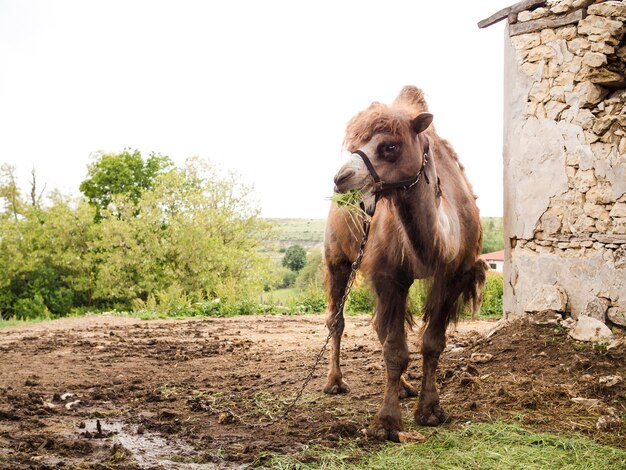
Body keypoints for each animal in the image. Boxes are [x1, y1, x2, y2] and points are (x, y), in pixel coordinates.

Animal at [322, 86, 488, 442]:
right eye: (354, 145)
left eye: (390, 146)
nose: (341, 179)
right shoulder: (389, 274)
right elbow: (394, 349)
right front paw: (386, 422)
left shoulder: (453, 275)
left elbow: (432, 343)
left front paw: (430, 410)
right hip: (337, 258)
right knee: (337, 320)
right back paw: (335, 382)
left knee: (379, 327)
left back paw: (403, 388)